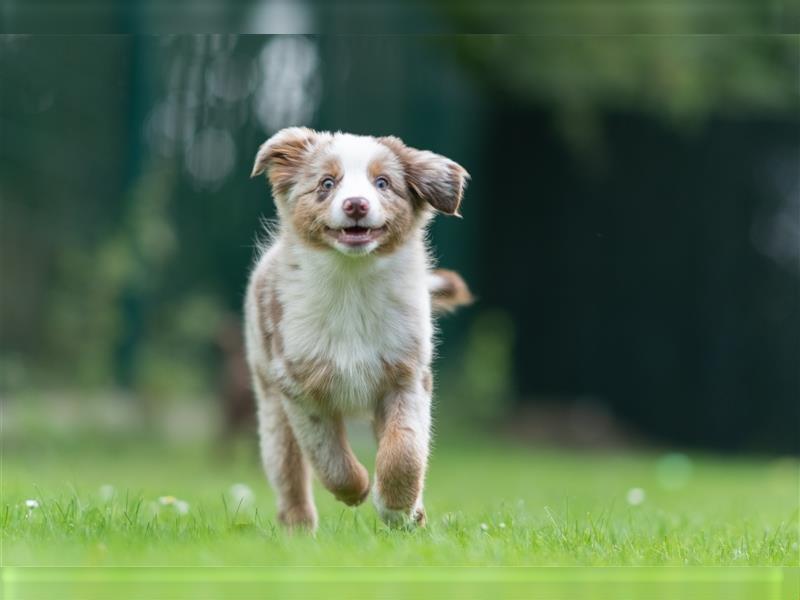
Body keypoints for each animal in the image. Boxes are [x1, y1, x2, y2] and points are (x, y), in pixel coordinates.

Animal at [244, 127, 468, 528]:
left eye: (383, 183)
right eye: (326, 183)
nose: (356, 206)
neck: (351, 279)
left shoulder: (406, 378)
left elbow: (405, 451)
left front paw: (397, 508)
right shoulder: (299, 388)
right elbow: (329, 458)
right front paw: (358, 490)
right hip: (270, 404)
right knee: (289, 474)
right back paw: (298, 528)